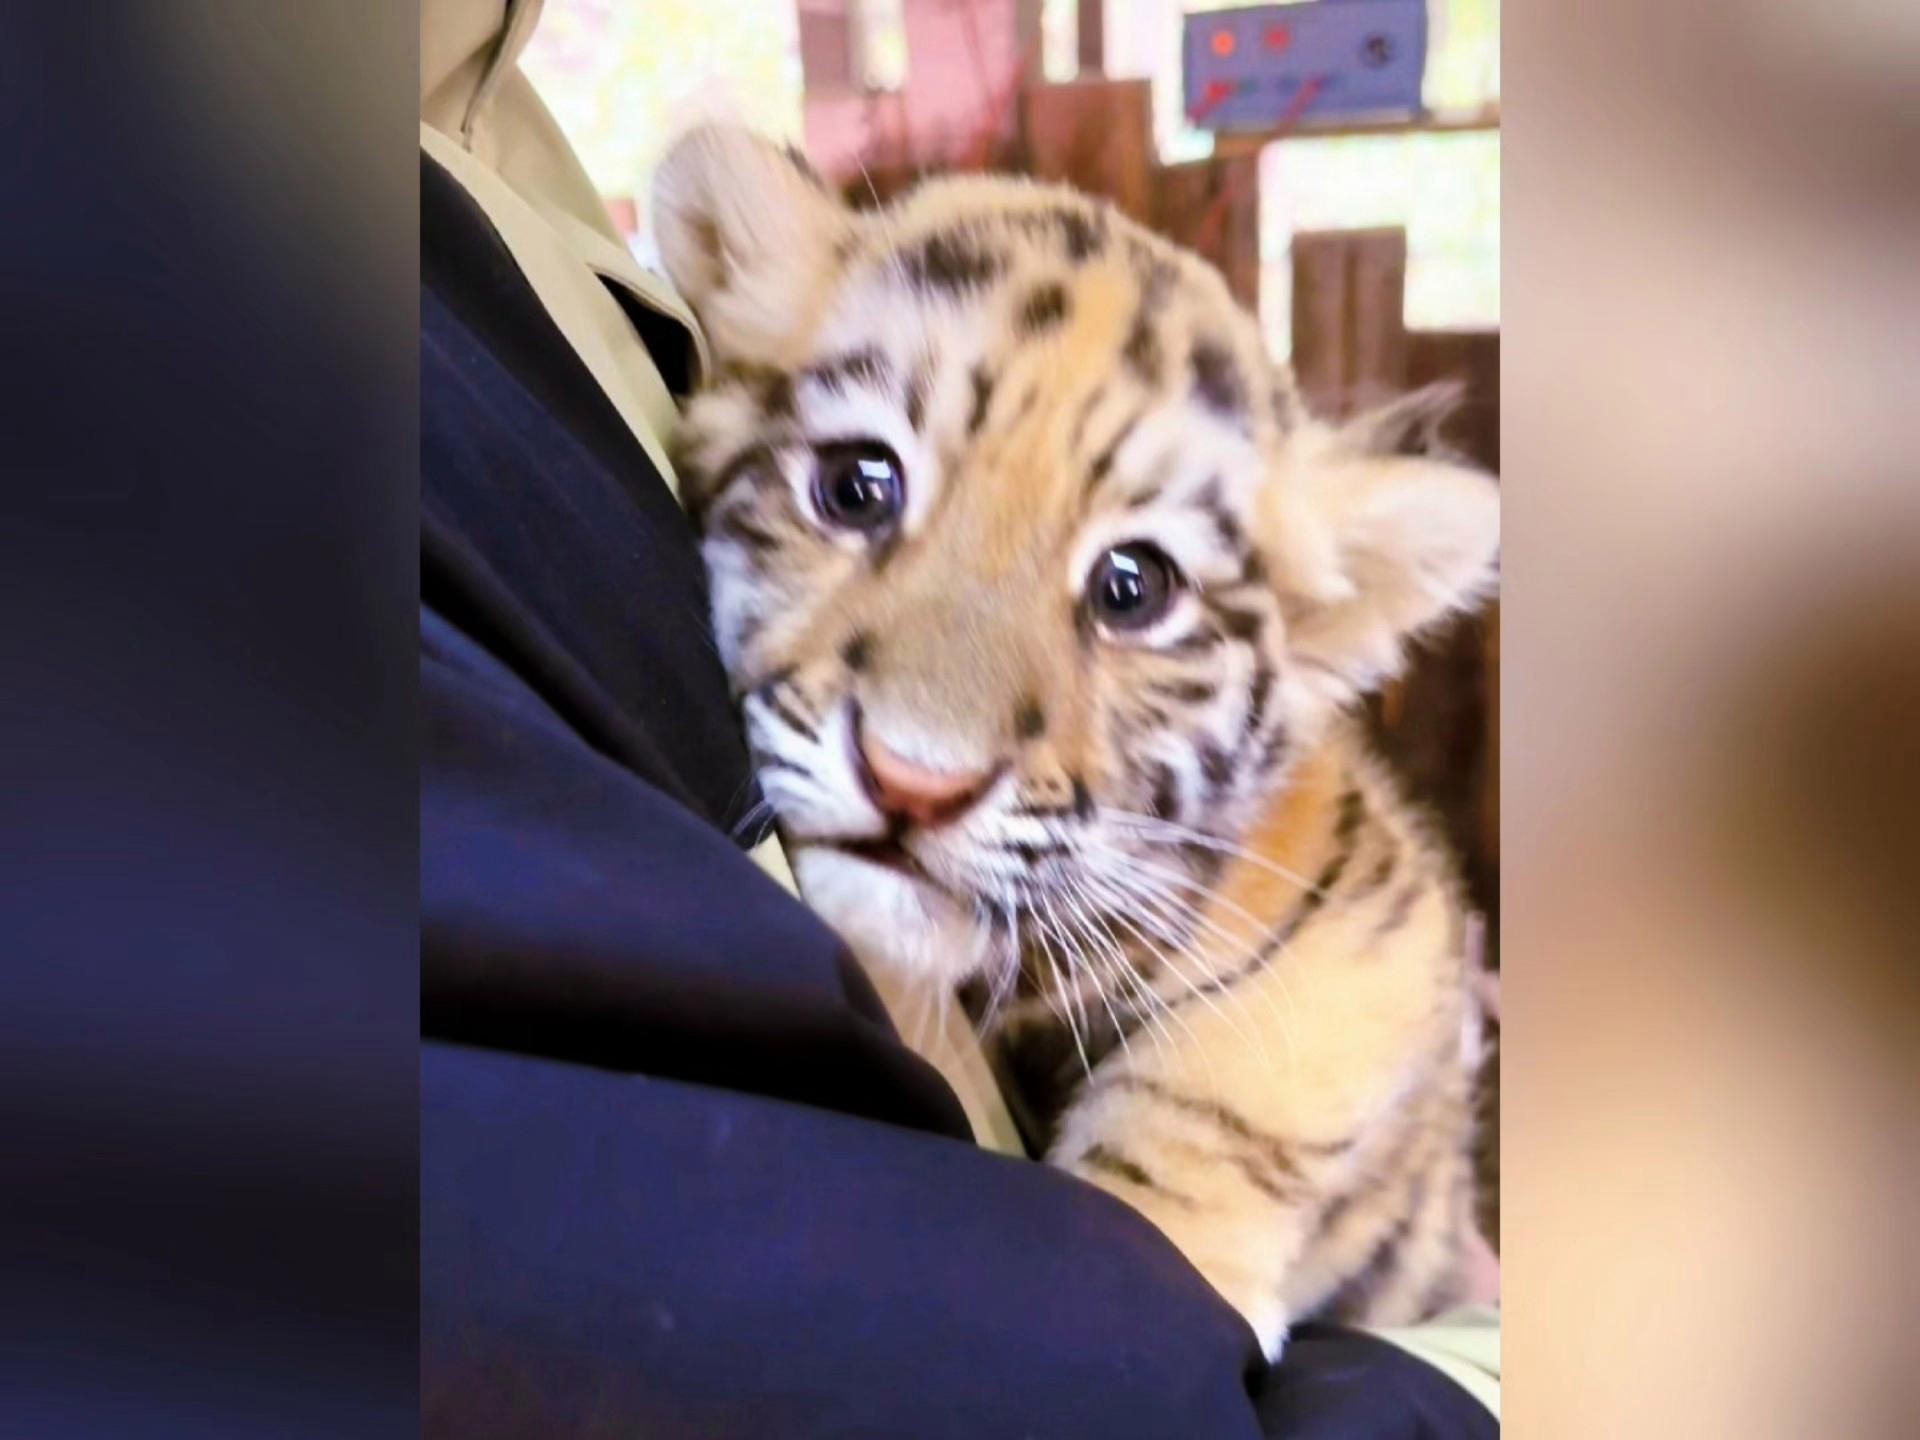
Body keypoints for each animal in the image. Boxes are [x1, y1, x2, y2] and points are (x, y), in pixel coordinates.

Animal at [651, 124, 1501, 1358]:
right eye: (857, 486)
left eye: (1131, 587)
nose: (913, 783)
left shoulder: (1376, 912)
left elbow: (1231, 1080)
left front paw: (1172, 1251)